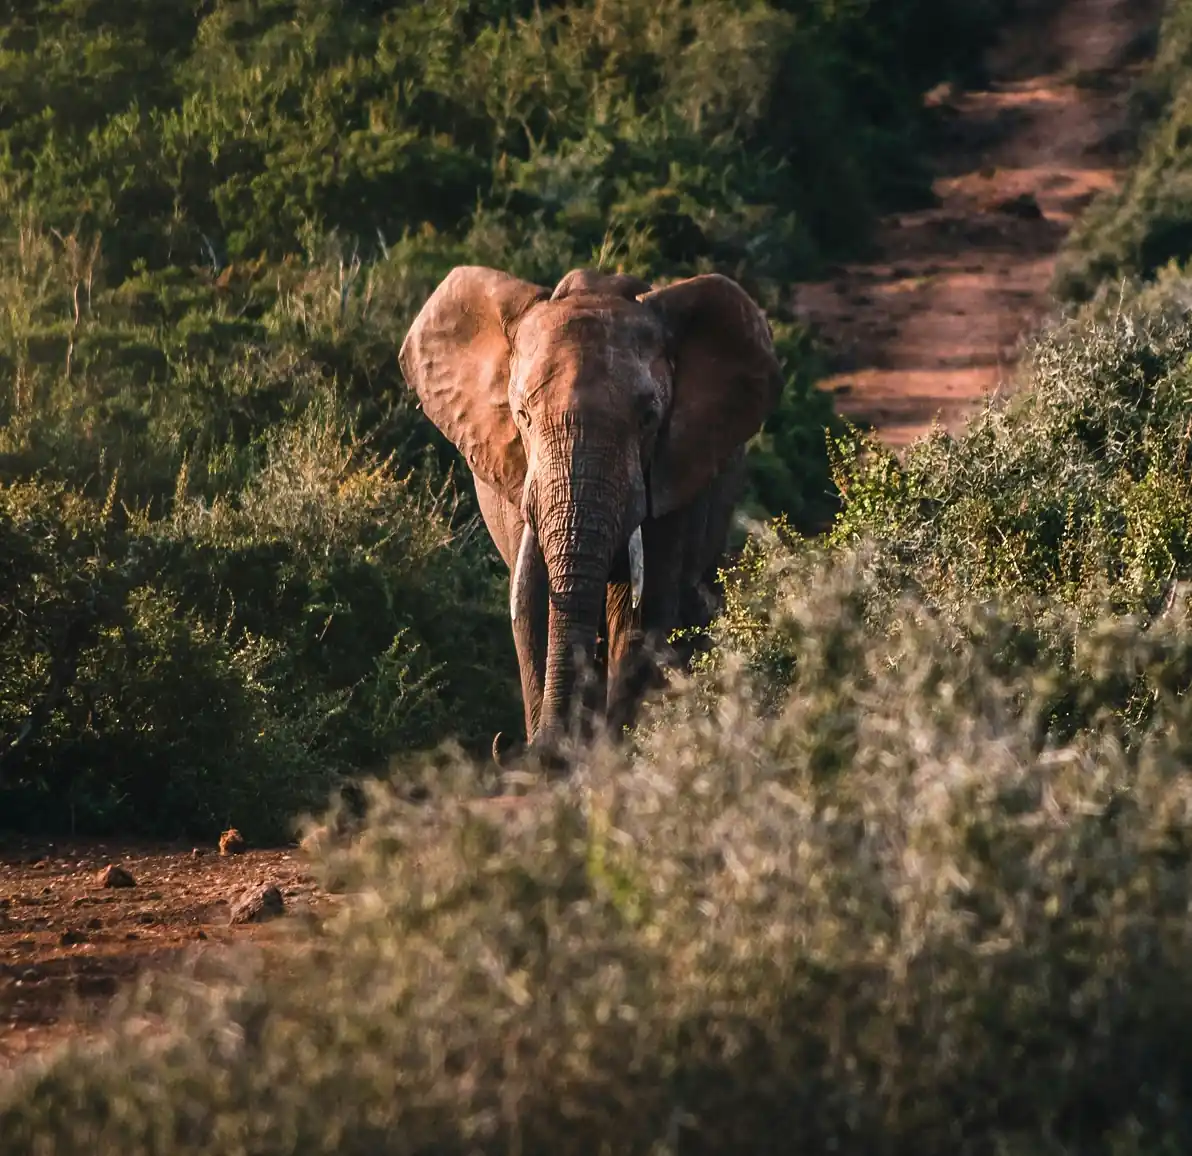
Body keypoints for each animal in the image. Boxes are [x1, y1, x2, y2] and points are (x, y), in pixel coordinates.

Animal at [398, 265, 783, 763]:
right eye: (522, 415)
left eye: (648, 418)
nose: (515, 746)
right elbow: (533, 603)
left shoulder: (670, 478)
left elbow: (641, 613)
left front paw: (608, 758)